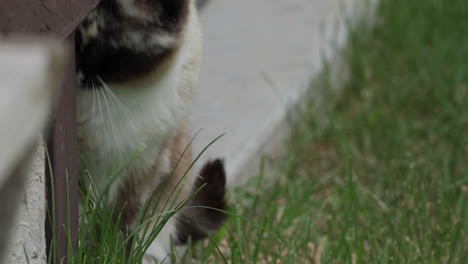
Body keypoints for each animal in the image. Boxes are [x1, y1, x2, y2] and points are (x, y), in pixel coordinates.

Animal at [75, 0, 225, 262]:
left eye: (98, 47)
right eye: (73, 40)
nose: (74, 71)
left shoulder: (143, 170)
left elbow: (121, 228)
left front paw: (112, 256)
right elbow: (81, 221)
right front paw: (88, 254)